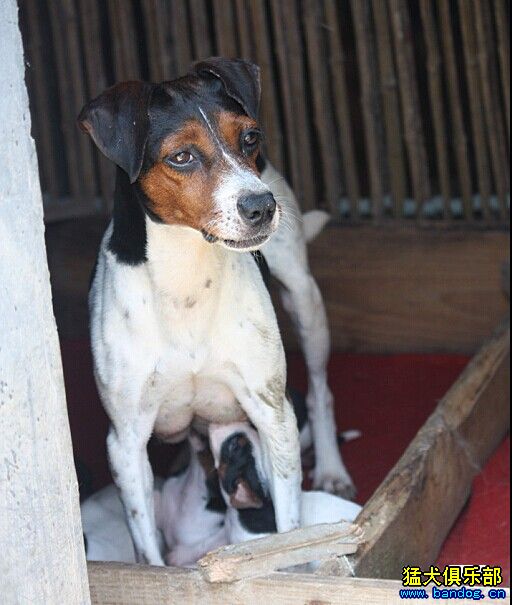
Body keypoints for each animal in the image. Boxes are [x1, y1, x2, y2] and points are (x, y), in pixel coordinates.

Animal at [78, 57, 354, 568]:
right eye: (181, 157)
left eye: (249, 138)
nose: (262, 205)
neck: (185, 277)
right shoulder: (125, 442)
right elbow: (149, 552)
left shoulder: (271, 413)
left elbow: (288, 527)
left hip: (304, 300)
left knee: (321, 391)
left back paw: (331, 468)